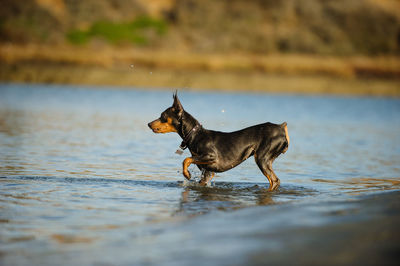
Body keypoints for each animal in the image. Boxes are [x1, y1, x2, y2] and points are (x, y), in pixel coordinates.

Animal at [148, 93, 290, 191]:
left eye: (162, 116)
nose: (148, 124)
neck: (195, 135)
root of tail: (281, 127)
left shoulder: (212, 157)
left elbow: (186, 160)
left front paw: (187, 174)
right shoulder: (208, 172)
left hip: (261, 158)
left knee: (275, 181)